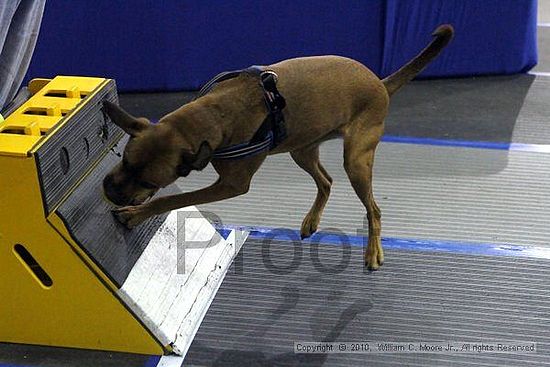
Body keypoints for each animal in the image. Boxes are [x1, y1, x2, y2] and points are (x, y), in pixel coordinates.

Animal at [102, 23, 452, 270]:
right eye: (124, 161)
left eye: (150, 181)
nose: (111, 193)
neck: (213, 115)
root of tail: (379, 82)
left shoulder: (232, 185)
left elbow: (174, 199)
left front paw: (135, 214)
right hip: (302, 148)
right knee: (326, 181)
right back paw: (312, 221)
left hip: (356, 160)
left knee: (373, 208)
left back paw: (373, 251)